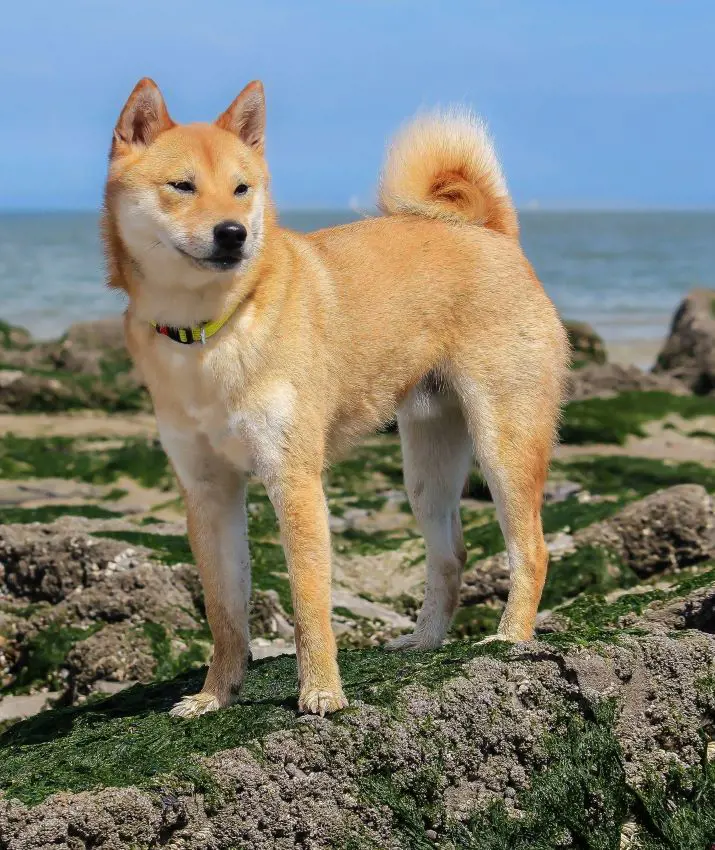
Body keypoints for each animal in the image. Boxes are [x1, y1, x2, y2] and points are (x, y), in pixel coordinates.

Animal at [102, 78, 572, 716]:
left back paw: (510, 637)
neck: (209, 331)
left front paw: (322, 691)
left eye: (242, 189)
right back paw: (424, 641)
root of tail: (493, 234)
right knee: (450, 556)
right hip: (426, 469)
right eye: (182, 186)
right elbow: (225, 613)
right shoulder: (207, 490)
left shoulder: (294, 478)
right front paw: (215, 695)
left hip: (504, 442)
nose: (233, 233)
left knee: (531, 549)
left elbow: (308, 604)